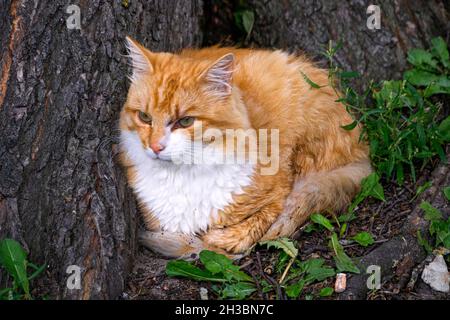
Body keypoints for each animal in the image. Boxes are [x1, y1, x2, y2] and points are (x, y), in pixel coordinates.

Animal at [119, 36, 372, 258]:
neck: (184, 176)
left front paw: (217, 238)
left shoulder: (277, 194)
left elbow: (246, 232)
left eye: (185, 121)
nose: (155, 146)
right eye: (144, 117)